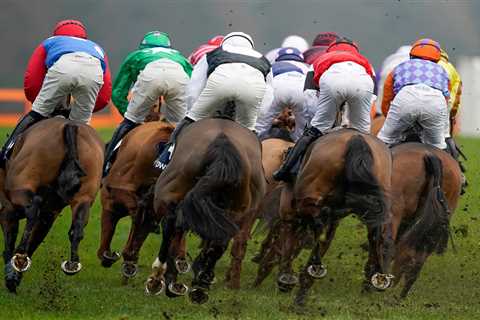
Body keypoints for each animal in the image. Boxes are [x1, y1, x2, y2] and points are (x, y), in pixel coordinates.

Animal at [0, 117, 103, 292]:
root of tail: (70, 126)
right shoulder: (49, 214)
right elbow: (35, 238)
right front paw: (16, 274)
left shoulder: (7, 209)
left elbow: (10, 239)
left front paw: (12, 275)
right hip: (84, 197)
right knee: (77, 228)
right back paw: (72, 264)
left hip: (21, 186)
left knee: (33, 208)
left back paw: (19, 255)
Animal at [146, 115, 266, 302]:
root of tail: (222, 140)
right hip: (239, 210)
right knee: (220, 241)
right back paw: (200, 286)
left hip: (166, 191)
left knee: (170, 224)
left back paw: (158, 278)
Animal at [255, 129, 394, 306]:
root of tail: (356, 139)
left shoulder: (288, 207)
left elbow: (289, 237)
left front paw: (283, 276)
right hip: (374, 203)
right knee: (375, 235)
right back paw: (375, 277)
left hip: (309, 198)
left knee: (315, 224)